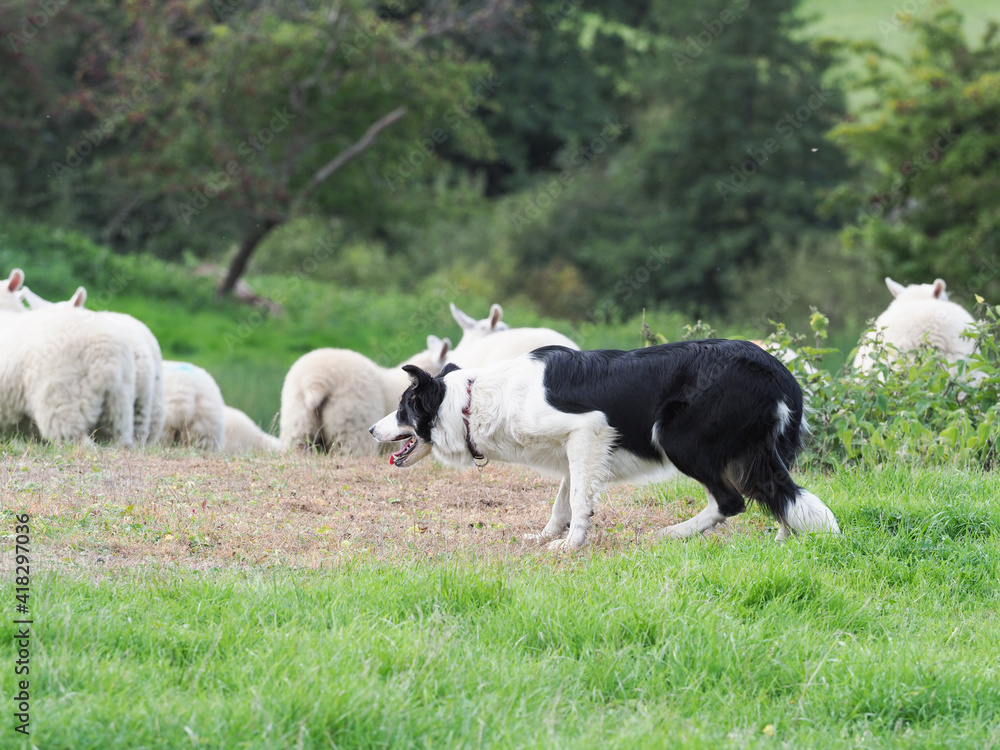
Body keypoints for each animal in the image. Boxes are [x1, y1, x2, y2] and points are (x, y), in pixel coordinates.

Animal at [372, 344, 840, 548]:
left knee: (732, 501)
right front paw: (547, 536)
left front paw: (570, 546)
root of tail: (777, 370)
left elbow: (579, 501)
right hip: (761, 451)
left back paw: (673, 533)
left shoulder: (589, 429)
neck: (473, 401)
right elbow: (563, 500)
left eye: (404, 408)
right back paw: (783, 536)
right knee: (779, 495)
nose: (374, 431)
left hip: (677, 437)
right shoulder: (573, 450)